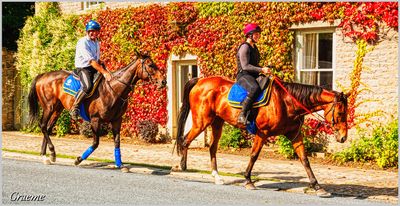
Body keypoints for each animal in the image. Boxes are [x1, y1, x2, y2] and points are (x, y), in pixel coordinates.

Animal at [28, 54, 166, 169]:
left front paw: (120, 164)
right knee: (43, 125)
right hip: (49, 107)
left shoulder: (117, 120)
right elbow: (95, 143)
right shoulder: (95, 119)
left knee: (48, 128)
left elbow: (117, 142)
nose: (163, 81)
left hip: (57, 109)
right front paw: (78, 159)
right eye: (150, 65)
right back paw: (49, 153)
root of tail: (43, 75)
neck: (112, 89)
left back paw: (46, 155)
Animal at [175, 75, 346, 196]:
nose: (343, 137)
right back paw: (181, 167)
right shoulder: (262, 133)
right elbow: (254, 155)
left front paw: (317, 186)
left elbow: (305, 159)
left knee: (212, 148)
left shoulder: (295, 135)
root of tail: (200, 80)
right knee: (185, 141)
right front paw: (248, 180)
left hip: (217, 123)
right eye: (340, 113)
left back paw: (216, 177)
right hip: (201, 122)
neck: (286, 102)